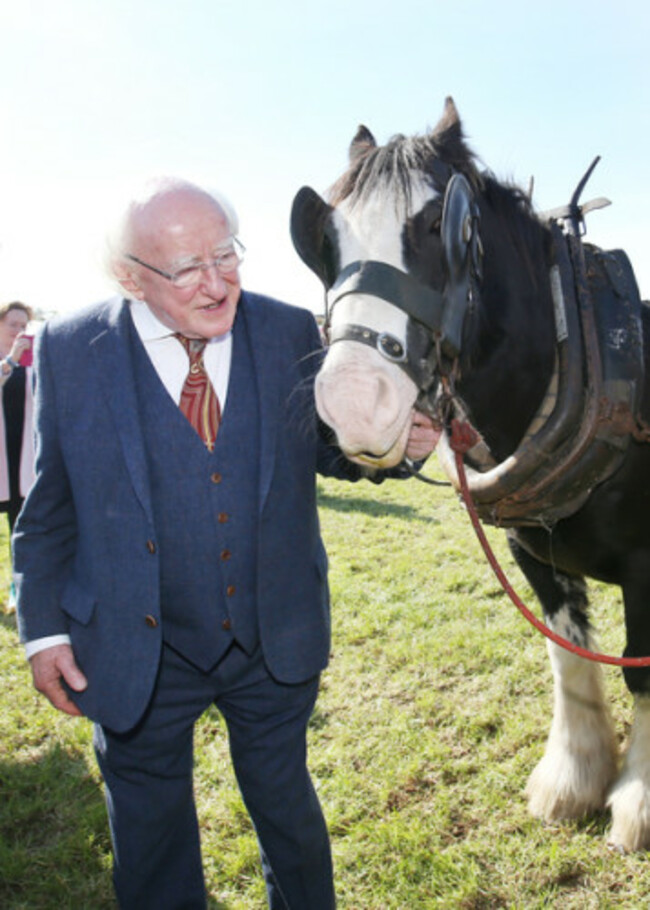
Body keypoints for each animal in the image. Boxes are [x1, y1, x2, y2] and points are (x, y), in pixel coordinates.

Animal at [290, 96, 650, 852]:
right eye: (324, 234)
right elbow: (569, 656)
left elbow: (641, 668)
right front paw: (573, 779)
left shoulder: (647, 563)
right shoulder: (534, 551)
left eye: (439, 225)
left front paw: (637, 801)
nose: (355, 401)